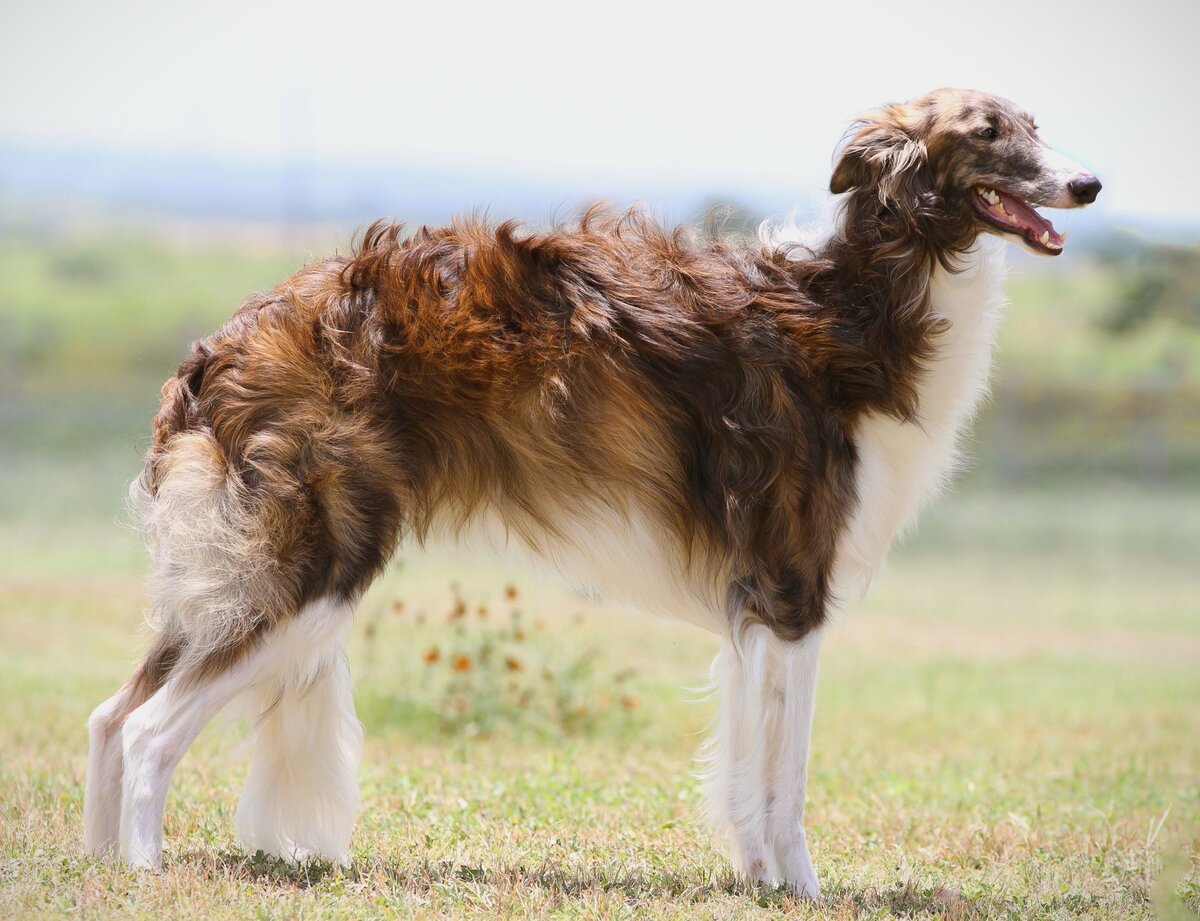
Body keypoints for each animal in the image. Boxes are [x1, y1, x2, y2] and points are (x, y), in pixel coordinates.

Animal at [82, 86, 1099, 892]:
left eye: (1038, 124)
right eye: (988, 131)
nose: (1091, 184)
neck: (851, 305)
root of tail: (218, 349)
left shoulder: (754, 609)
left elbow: (749, 771)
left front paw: (760, 879)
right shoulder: (793, 591)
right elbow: (788, 777)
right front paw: (803, 889)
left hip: (238, 572)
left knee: (109, 713)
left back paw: (96, 864)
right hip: (313, 567)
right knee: (151, 731)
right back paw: (146, 870)